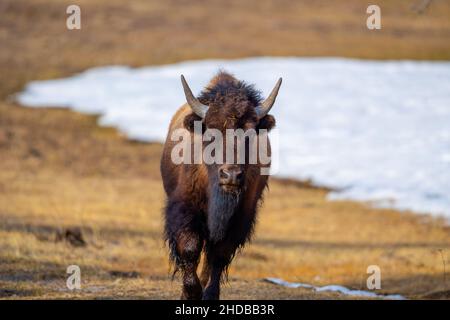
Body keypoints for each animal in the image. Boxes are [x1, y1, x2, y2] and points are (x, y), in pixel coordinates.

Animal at [162, 71, 282, 298]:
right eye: (211, 130)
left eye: (250, 132)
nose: (231, 175)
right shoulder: (184, 208)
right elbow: (190, 248)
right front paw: (191, 293)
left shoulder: (241, 216)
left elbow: (219, 255)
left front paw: (210, 295)